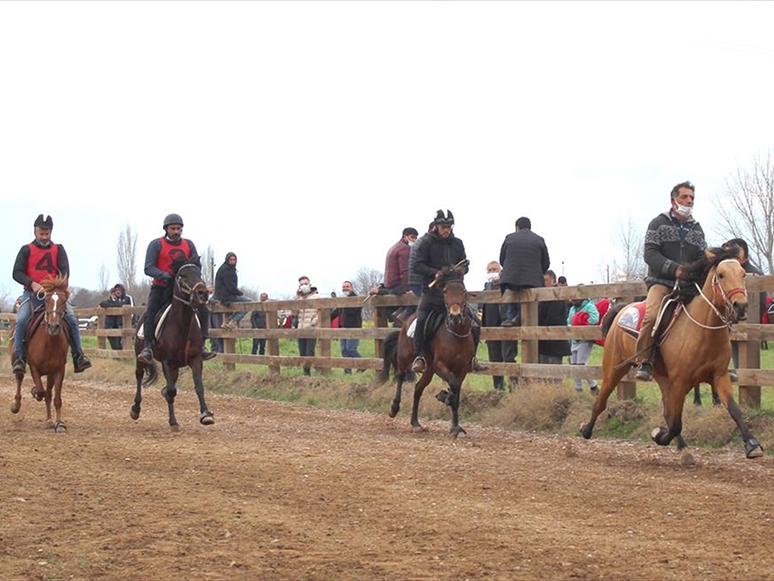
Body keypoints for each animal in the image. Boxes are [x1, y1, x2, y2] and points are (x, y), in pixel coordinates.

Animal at [9, 276, 71, 430]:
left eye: (63, 301)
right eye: (47, 301)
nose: (53, 327)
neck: (49, 342)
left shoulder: (58, 370)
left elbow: (55, 398)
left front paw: (59, 423)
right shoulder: (34, 367)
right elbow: (40, 390)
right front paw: (34, 392)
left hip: (50, 373)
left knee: (48, 394)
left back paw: (49, 420)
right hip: (16, 359)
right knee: (19, 378)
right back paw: (16, 406)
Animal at [130, 258, 215, 430]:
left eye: (199, 273)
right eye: (182, 275)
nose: (202, 293)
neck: (182, 325)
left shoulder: (195, 359)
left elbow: (199, 387)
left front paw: (206, 414)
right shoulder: (167, 362)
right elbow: (171, 391)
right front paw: (173, 422)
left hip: (176, 367)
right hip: (141, 357)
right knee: (139, 376)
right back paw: (135, 409)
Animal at [378, 262, 476, 436]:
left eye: (463, 291)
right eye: (445, 291)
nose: (455, 316)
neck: (456, 335)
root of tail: (406, 322)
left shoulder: (463, 369)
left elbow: (456, 391)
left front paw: (456, 427)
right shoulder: (440, 365)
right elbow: (453, 386)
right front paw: (445, 397)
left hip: (429, 369)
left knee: (418, 389)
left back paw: (416, 423)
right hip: (405, 358)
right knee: (400, 376)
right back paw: (394, 408)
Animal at [584, 249, 764, 462]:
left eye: (743, 274)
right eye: (721, 275)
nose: (741, 306)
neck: (702, 332)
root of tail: (622, 310)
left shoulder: (719, 376)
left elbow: (734, 410)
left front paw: (752, 444)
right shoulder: (680, 382)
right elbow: (676, 422)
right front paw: (659, 435)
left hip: (662, 378)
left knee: (667, 412)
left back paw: (682, 447)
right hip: (613, 369)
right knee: (601, 401)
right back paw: (586, 430)